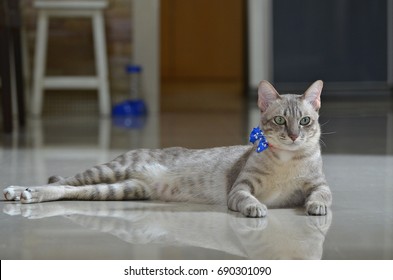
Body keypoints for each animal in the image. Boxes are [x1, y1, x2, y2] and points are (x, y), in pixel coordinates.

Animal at [2, 80, 330, 218]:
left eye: (304, 121)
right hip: (109, 170)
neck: (288, 159)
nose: (293, 136)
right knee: (64, 181)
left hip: (119, 189)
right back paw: (20, 191)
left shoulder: (319, 184)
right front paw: (256, 207)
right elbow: (247, 198)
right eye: (280, 120)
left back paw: (27, 195)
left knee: (68, 190)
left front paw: (317, 206)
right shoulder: (240, 187)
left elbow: (321, 195)